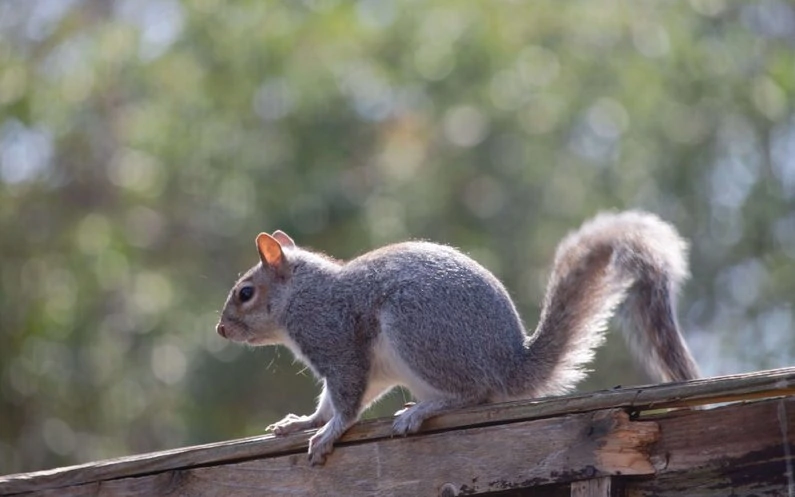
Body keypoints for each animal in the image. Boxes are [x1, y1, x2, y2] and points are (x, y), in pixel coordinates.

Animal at [216, 210, 696, 464]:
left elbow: (346, 403)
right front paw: (303, 422)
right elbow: (330, 402)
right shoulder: (370, 368)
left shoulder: (335, 340)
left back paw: (421, 410)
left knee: (475, 392)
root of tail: (510, 365)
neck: (301, 294)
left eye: (245, 293)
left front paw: (328, 434)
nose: (221, 329)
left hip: (416, 329)